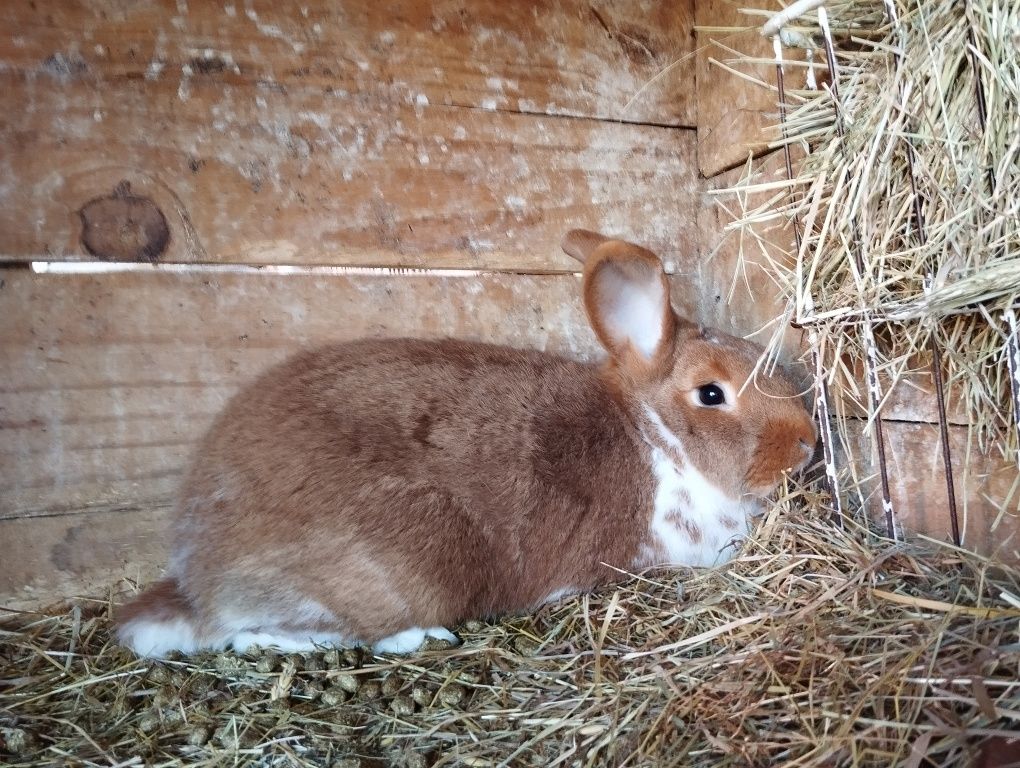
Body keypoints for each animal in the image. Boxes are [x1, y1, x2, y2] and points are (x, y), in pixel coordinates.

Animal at [115, 230, 816, 656]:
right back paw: (421, 639)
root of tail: (200, 577)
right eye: (711, 394)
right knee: (259, 635)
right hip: (407, 569)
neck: (656, 434)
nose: (808, 445)